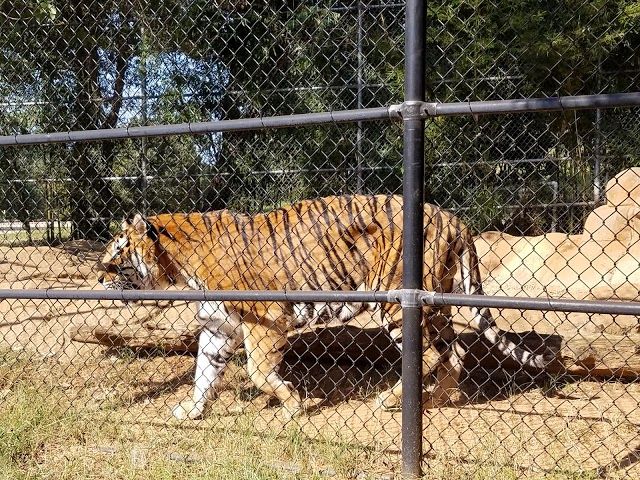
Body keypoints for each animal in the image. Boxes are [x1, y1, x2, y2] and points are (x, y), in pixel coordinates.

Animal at [97, 194, 553, 420]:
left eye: (116, 255)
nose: (97, 278)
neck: (177, 267)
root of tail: (454, 219)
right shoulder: (218, 325)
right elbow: (203, 374)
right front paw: (190, 411)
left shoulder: (265, 320)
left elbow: (258, 371)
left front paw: (292, 407)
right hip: (437, 307)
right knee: (453, 353)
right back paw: (439, 400)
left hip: (396, 301)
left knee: (424, 355)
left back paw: (387, 402)